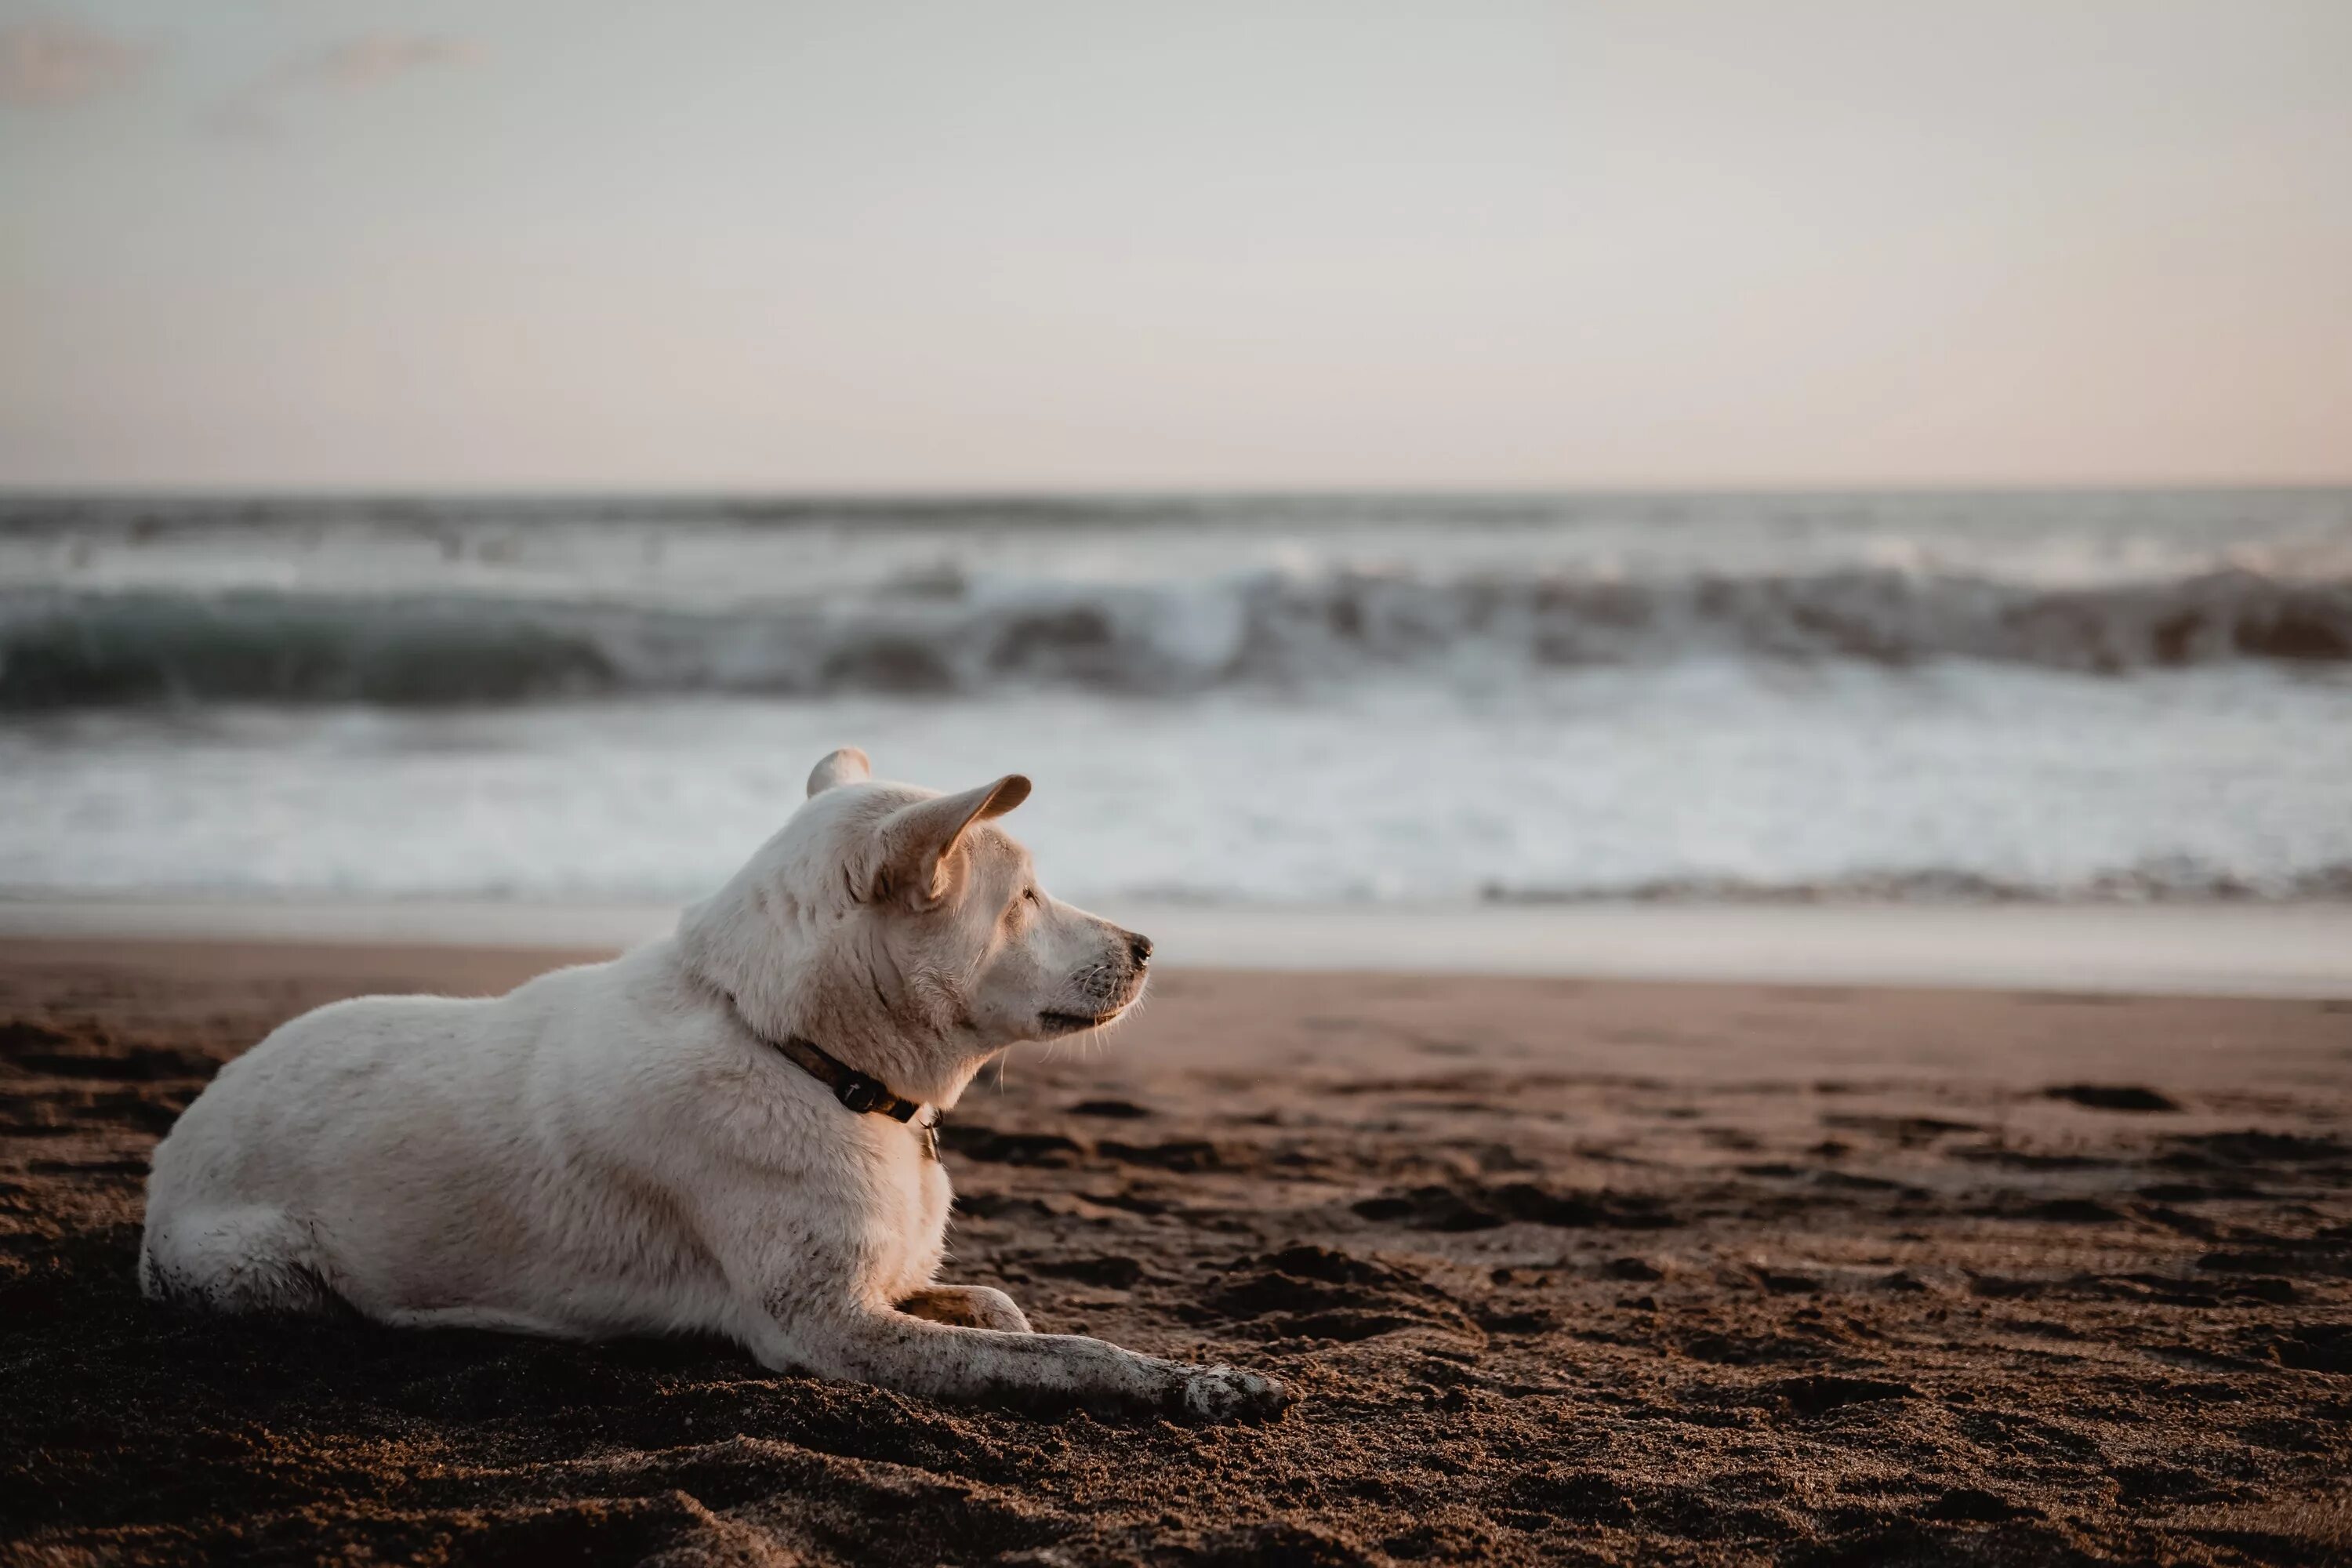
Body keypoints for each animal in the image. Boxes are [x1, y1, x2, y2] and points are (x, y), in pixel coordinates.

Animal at [135, 752, 1289, 1429]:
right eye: (1030, 897)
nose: (1147, 946)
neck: (809, 1058)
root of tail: (170, 1155)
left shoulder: (874, 1287)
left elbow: (1004, 1311)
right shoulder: (828, 1328)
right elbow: (1064, 1354)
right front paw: (1198, 1382)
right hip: (261, 1267)